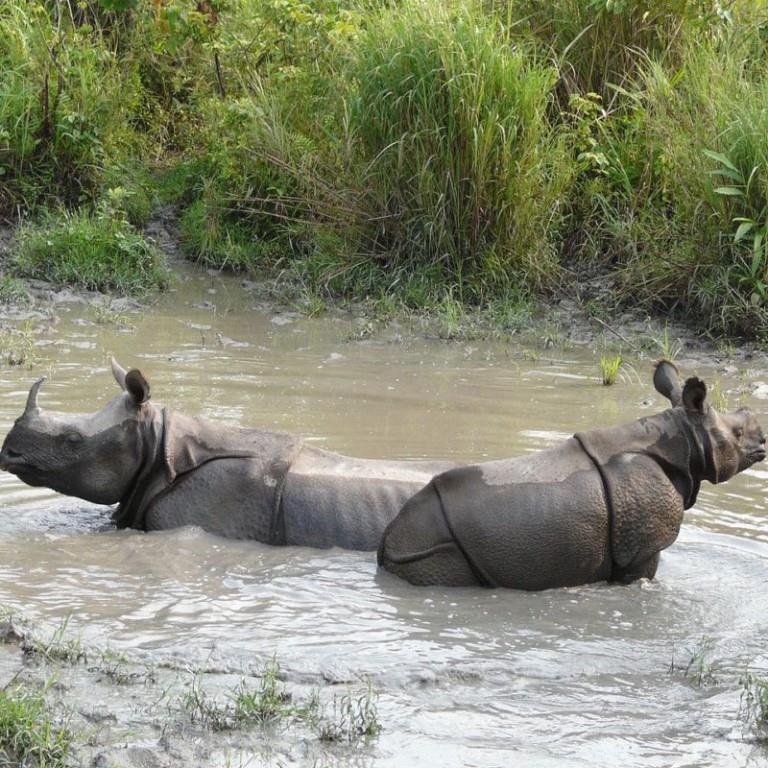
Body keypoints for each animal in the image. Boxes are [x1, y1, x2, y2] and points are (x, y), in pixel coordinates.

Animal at [380, 364, 768, 592]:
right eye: (737, 434)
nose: (763, 440)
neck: (683, 438)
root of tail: (389, 544)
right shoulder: (642, 548)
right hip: (433, 551)